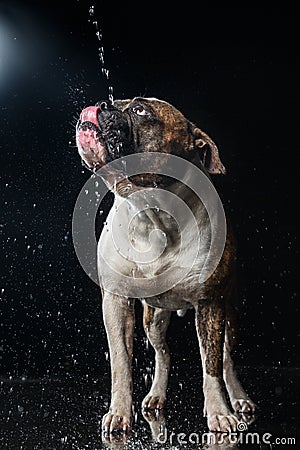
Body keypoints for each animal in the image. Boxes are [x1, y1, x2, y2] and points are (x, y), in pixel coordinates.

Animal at [75, 96, 255, 434]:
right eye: (116, 101)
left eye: (140, 110)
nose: (102, 104)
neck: (152, 212)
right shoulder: (116, 302)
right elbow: (121, 362)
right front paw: (119, 411)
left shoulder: (210, 304)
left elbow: (211, 365)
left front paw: (219, 411)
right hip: (154, 319)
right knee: (163, 354)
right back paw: (156, 395)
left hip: (230, 315)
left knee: (226, 359)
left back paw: (238, 398)